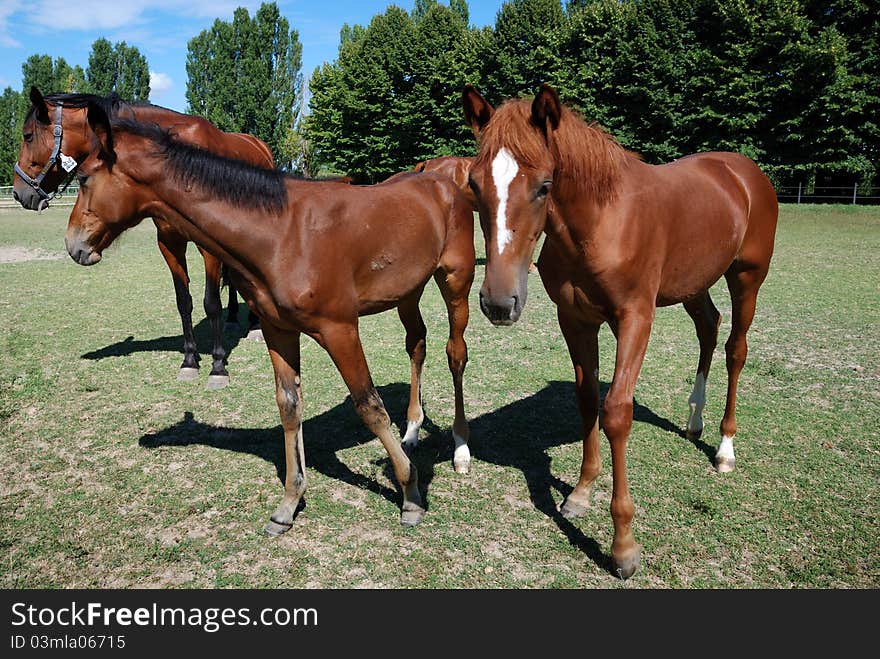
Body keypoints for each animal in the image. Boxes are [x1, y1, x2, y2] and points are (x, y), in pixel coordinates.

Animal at [12, 87, 276, 386]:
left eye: (28, 136)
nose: (19, 192)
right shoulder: (170, 243)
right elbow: (184, 301)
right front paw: (189, 361)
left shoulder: (207, 247)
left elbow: (211, 303)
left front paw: (218, 365)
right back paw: (233, 317)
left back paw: (254, 324)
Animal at [65, 105, 478, 532]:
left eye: (83, 178)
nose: (74, 245)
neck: (281, 233)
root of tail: (444, 181)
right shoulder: (278, 330)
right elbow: (289, 405)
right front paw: (289, 503)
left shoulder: (340, 330)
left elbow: (369, 406)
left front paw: (411, 493)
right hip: (407, 294)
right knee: (417, 344)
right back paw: (411, 430)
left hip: (456, 284)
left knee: (455, 354)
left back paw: (461, 450)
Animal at [460, 85, 776, 580]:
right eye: (474, 185)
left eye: (544, 186)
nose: (498, 303)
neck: (600, 222)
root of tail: (743, 171)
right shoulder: (575, 319)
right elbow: (588, 400)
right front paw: (580, 493)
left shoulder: (635, 319)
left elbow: (615, 414)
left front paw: (623, 546)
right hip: (694, 283)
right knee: (708, 328)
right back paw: (694, 422)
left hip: (747, 278)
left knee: (735, 350)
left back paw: (724, 448)